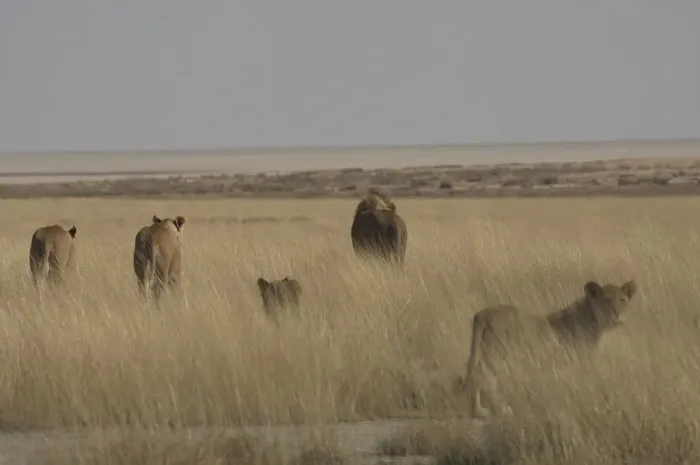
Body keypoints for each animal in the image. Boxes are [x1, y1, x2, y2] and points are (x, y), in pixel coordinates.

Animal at [456, 280, 638, 419]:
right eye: (606, 301)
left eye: (622, 300)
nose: (617, 315)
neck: (593, 318)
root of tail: (483, 313)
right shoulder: (578, 359)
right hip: (499, 351)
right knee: (482, 375)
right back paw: (488, 410)